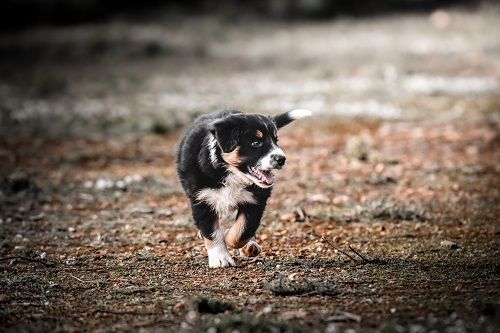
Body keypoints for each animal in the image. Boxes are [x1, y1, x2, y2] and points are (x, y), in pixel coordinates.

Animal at [175, 109, 308, 268]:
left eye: (276, 141)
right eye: (256, 143)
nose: (282, 159)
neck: (229, 172)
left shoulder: (256, 200)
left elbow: (244, 229)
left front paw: (230, 237)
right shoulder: (202, 199)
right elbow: (211, 231)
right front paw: (221, 258)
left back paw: (250, 246)